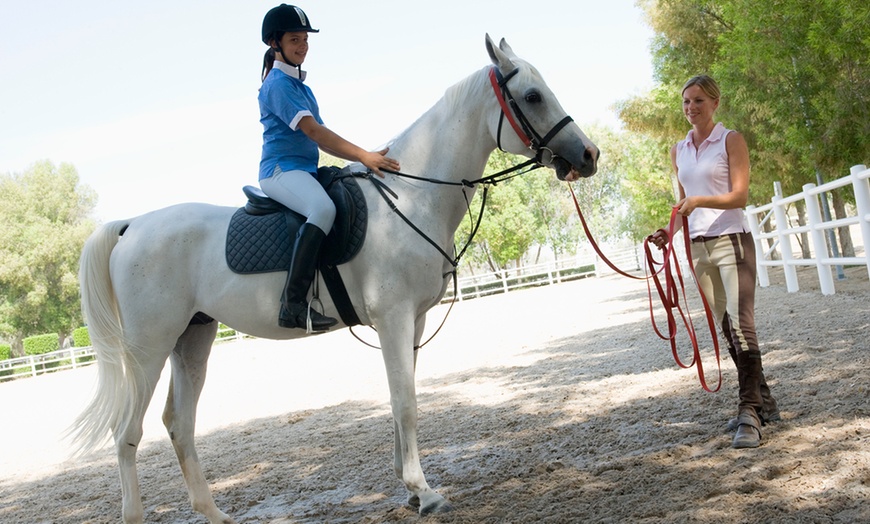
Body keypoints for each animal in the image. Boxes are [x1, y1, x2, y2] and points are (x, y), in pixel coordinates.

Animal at [73, 34, 600, 520]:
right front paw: (424, 491)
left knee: (179, 424)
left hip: (192, 339)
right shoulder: (393, 318)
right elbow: (406, 401)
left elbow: (400, 396)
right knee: (127, 433)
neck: (413, 195)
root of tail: (133, 225)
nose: (589, 155)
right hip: (149, 348)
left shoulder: (412, 321)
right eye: (532, 96)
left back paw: (214, 513)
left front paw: (409, 487)